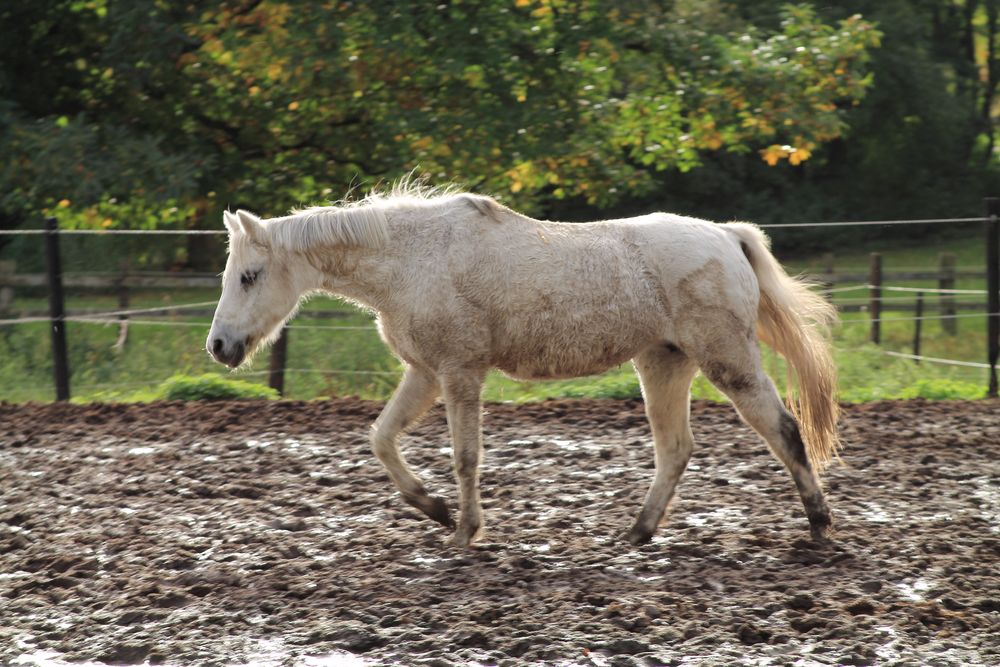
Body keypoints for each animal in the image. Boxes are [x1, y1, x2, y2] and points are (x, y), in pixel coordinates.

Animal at [207, 184, 840, 548]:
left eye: (249, 275)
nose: (219, 346)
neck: (412, 259)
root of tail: (727, 237)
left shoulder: (460, 373)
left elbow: (465, 458)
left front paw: (464, 532)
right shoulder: (425, 374)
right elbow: (382, 440)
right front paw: (435, 510)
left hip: (727, 362)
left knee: (784, 431)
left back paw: (818, 527)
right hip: (663, 365)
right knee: (675, 450)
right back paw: (635, 533)